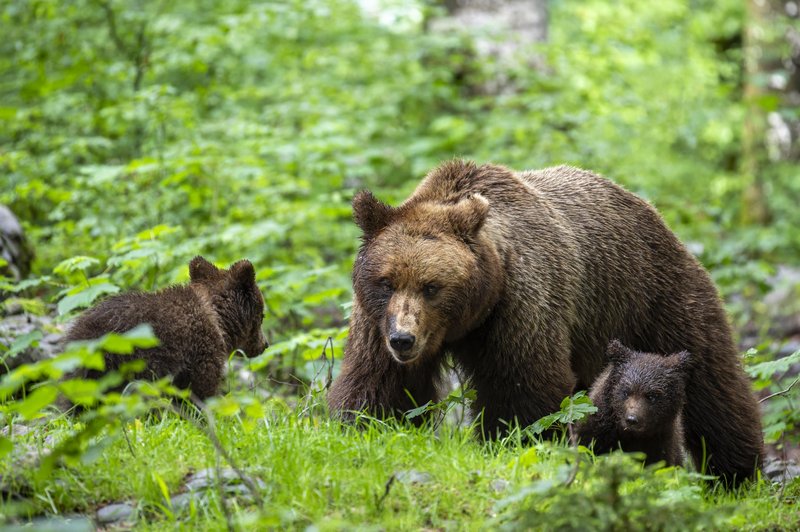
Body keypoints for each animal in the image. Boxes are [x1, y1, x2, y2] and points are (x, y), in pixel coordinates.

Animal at [328, 160, 764, 484]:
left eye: (432, 286)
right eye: (386, 281)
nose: (404, 339)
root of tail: (651, 210)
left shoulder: (521, 307)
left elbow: (525, 391)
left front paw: (511, 443)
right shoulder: (375, 322)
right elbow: (378, 387)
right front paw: (364, 428)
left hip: (652, 299)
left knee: (712, 382)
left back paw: (736, 473)